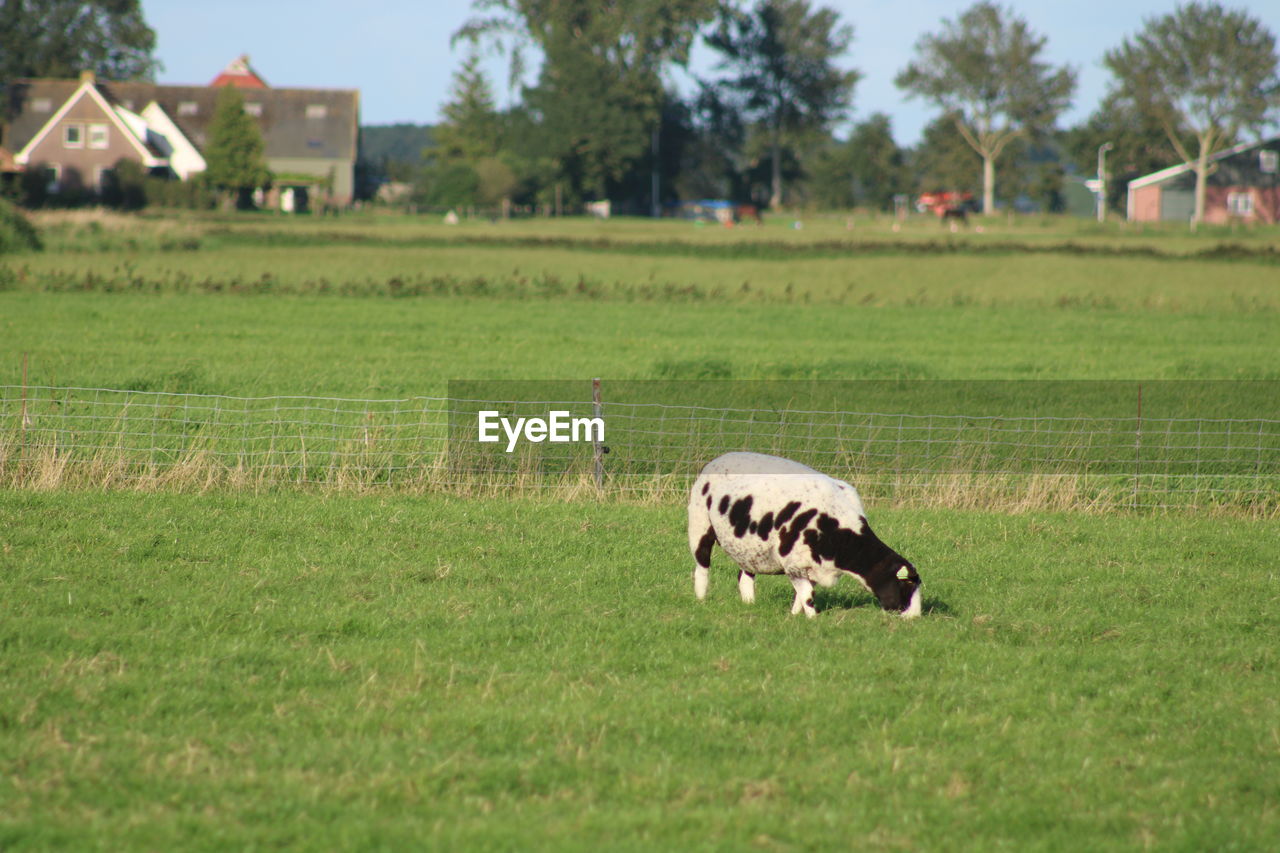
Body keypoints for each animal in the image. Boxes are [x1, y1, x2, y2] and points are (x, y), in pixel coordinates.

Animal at [691, 450, 921, 617]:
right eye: (906, 584)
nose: (915, 618)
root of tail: (720, 458)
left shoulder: (811, 568)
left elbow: (801, 596)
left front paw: (795, 616)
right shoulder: (793, 563)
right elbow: (808, 595)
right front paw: (813, 619)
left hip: (749, 547)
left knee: (745, 574)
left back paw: (749, 603)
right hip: (700, 524)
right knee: (702, 566)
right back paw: (701, 599)